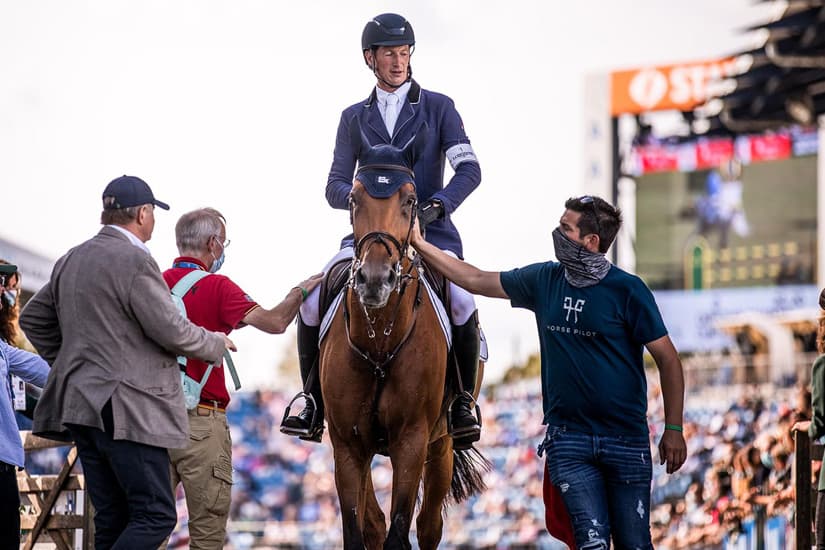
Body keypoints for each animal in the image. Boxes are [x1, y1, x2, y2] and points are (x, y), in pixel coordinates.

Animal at [320, 125, 490, 550]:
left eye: (410, 200)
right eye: (353, 199)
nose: (375, 280)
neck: (380, 339)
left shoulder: (411, 443)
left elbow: (401, 531)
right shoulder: (348, 445)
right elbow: (358, 531)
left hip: (441, 445)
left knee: (429, 525)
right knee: (375, 523)